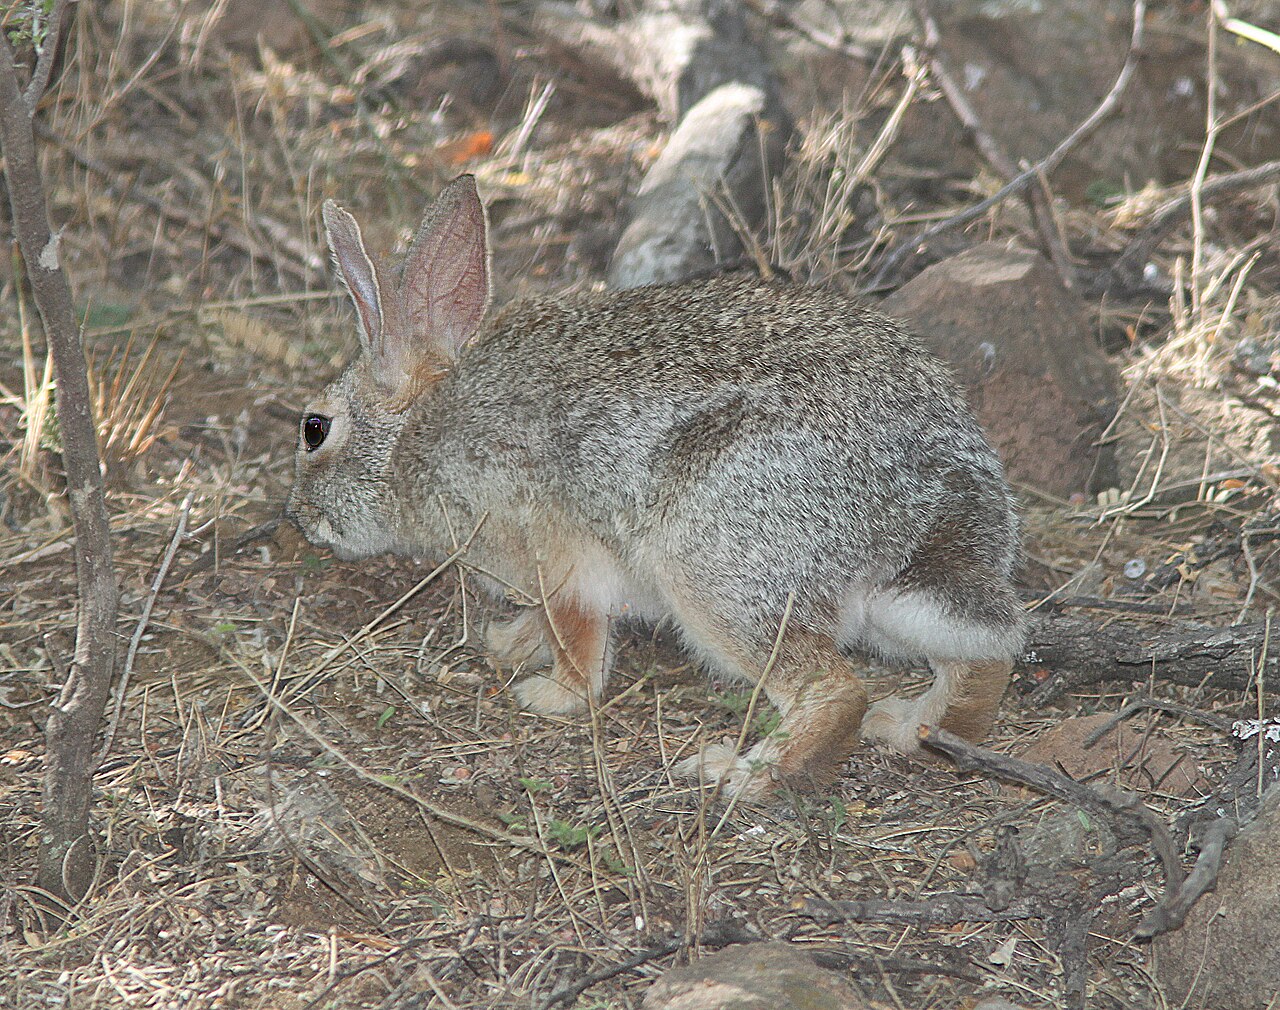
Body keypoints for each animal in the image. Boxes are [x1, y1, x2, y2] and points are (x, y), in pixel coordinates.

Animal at [286, 175, 1027, 799]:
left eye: (314, 429)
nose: (297, 517)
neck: (413, 436)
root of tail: (925, 498)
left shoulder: (551, 546)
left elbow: (578, 632)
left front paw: (553, 694)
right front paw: (510, 642)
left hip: (714, 572)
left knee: (833, 690)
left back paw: (740, 775)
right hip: (889, 609)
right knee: (987, 656)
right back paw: (914, 727)